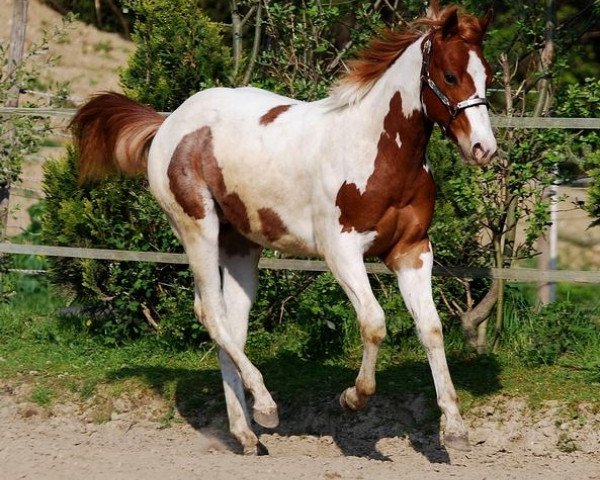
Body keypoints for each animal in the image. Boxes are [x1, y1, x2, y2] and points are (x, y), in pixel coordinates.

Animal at [71, 0, 496, 456]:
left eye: (487, 74)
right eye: (450, 75)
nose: (483, 149)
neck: (375, 150)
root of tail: (168, 121)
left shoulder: (412, 250)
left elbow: (431, 328)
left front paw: (455, 429)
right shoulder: (341, 250)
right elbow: (374, 322)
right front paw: (353, 398)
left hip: (240, 245)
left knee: (231, 324)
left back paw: (245, 431)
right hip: (196, 228)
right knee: (210, 313)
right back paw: (266, 406)